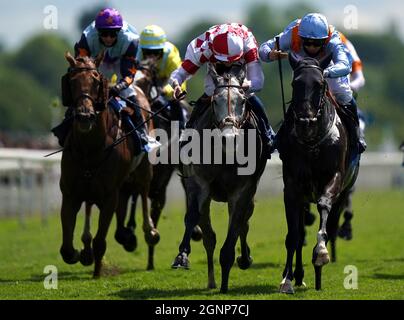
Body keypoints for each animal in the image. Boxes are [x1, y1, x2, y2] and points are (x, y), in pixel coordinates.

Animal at [60, 52, 158, 278]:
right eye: (72, 81)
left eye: (96, 81)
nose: (85, 116)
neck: (90, 149)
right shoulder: (70, 194)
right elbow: (66, 249)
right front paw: (80, 253)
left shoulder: (110, 195)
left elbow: (100, 240)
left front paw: (97, 273)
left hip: (144, 169)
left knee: (144, 191)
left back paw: (149, 231)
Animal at [171, 67, 268, 292]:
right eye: (215, 101)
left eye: (243, 100)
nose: (229, 138)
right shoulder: (198, 183)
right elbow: (192, 217)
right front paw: (182, 257)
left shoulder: (242, 192)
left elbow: (235, 228)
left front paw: (229, 272)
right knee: (209, 236)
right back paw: (212, 281)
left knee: (243, 223)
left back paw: (243, 260)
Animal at [278, 53, 360, 294]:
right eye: (295, 83)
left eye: (321, 84)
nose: (305, 122)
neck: (311, 143)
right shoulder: (293, 187)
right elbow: (294, 236)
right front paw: (287, 280)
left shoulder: (334, 178)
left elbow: (324, 209)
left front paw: (321, 253)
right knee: (300, 232)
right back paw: (298, 276)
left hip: (343, 191)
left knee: (331, 223)